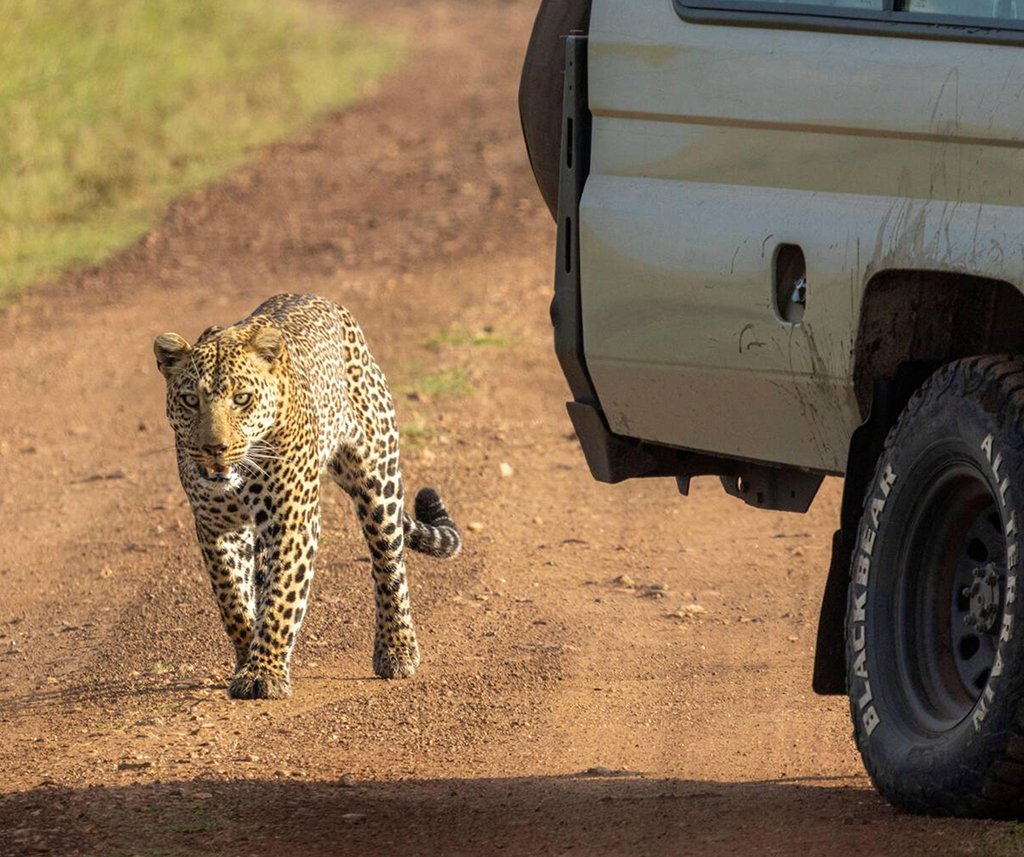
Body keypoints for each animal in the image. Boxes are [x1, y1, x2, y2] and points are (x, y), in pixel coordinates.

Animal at [153, 293, 461, 699]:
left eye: (242, 399)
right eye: (190, 400)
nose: (214, 449)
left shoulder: (292, 518)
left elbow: (282, 595)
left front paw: (263, 673)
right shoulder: (214, 525)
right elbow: (231, 598)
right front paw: (248, 655)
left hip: (379, 478)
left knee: (389, 564)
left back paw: (397, 650)